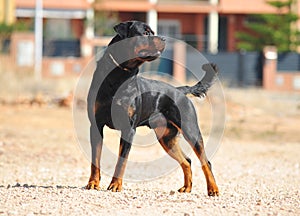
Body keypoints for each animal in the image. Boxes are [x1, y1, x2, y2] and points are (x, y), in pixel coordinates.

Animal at [85, 20, 219, 196]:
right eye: (146, 33)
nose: (163, 38)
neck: (119, 74)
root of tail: (180, 90)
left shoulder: (128, 129)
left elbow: (121, 161)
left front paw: (115, 185)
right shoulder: (96, 125)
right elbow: (95, 159)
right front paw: (93, 183)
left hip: (190, 129)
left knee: (205, 161)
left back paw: (213, 189)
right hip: (166, 137)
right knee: (187, 160)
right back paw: (186, 188)